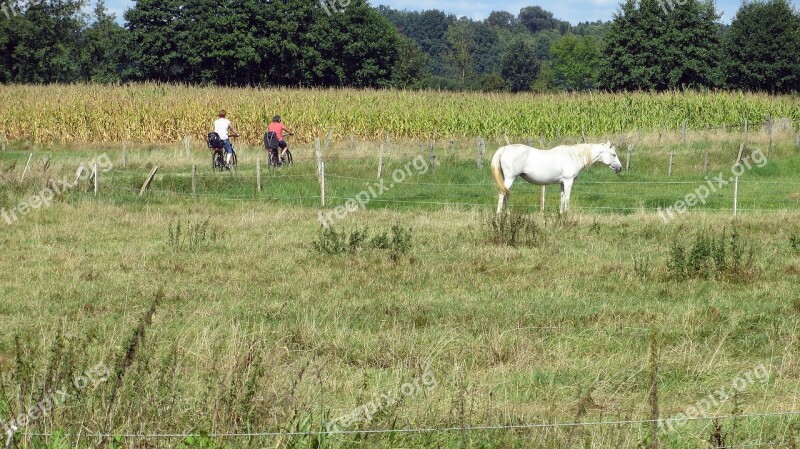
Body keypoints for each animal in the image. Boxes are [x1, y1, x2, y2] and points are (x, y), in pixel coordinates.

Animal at [488, 143, 624, 214]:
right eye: (613, 154)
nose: (620, 168)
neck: (574, 156)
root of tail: (504, 148)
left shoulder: (562, 183)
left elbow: (562, 198)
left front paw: (561, 214)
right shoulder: (568, 181)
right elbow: (567, 198)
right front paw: (567, 215)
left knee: (506, 194)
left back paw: (507, 214)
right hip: (510, 178)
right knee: (502, 194)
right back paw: (499, 215)